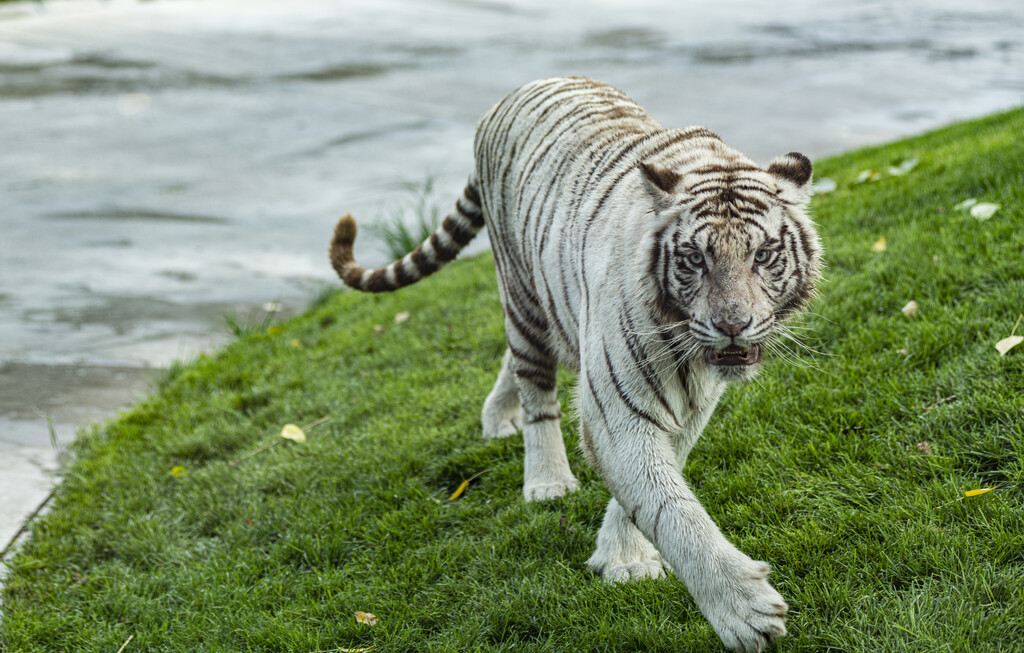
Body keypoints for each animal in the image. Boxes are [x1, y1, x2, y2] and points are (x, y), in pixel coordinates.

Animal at [329, 77, 823, 653]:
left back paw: (497, 418)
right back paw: (545, 478)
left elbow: (657, 480)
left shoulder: (693, 401)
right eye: (695, 259)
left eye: (762, 255)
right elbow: (669, 507)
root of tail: (517, 90)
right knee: (534, 386)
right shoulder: (617, 406)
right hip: (519, 290)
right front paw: (743, 611)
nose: (732, 325)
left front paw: (622, 557)